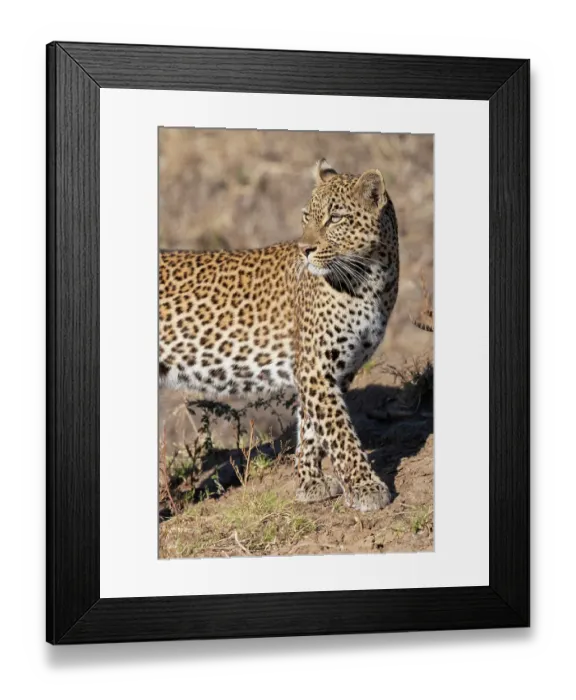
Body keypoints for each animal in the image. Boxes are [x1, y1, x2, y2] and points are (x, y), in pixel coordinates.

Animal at [159, 159, 399, 512]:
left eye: (336, 218)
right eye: (306, 216)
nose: (305, 249)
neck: (371, 280)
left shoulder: (334, 370)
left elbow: (313, 427)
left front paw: (309, 482)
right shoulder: (315, 367)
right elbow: (340, 431)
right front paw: (365, 486)